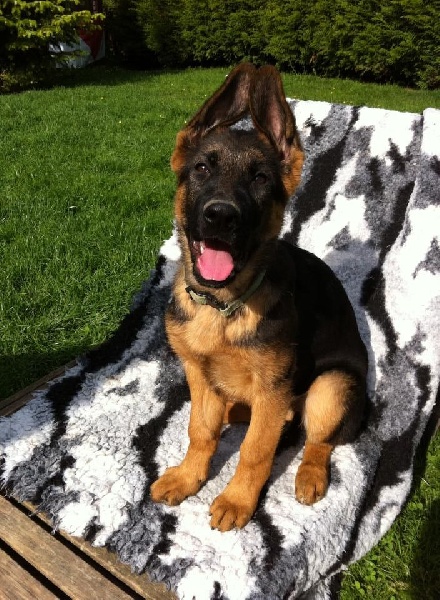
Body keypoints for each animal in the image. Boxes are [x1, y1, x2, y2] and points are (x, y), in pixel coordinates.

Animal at [150, 63, 368, 532]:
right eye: (201, 168)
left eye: (261, 178)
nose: (220, 215)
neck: (223, 306)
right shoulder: (198, 373)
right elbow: (200, 431)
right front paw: (189, 476)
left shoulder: (274, 387)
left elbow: (254, 451)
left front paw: (237, 500)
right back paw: (235, 410)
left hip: (331, 385)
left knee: (318, 438)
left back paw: (309, 474)